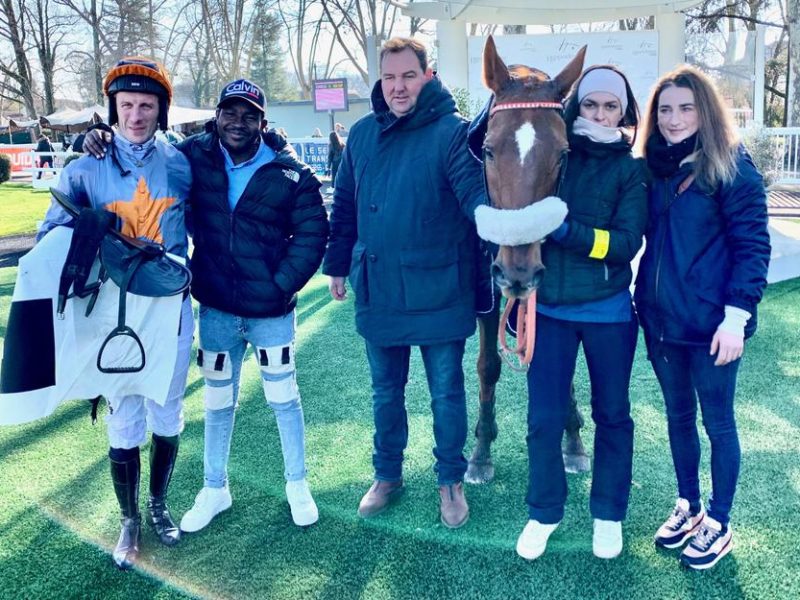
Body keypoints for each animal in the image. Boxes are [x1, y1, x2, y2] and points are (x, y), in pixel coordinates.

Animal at [466, 37, 592, 486]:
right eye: (487, 151)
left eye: (563, 154)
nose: (518, 273)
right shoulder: (486, 287)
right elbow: (488, 366)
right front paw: (481, 450)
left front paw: (573, 441)